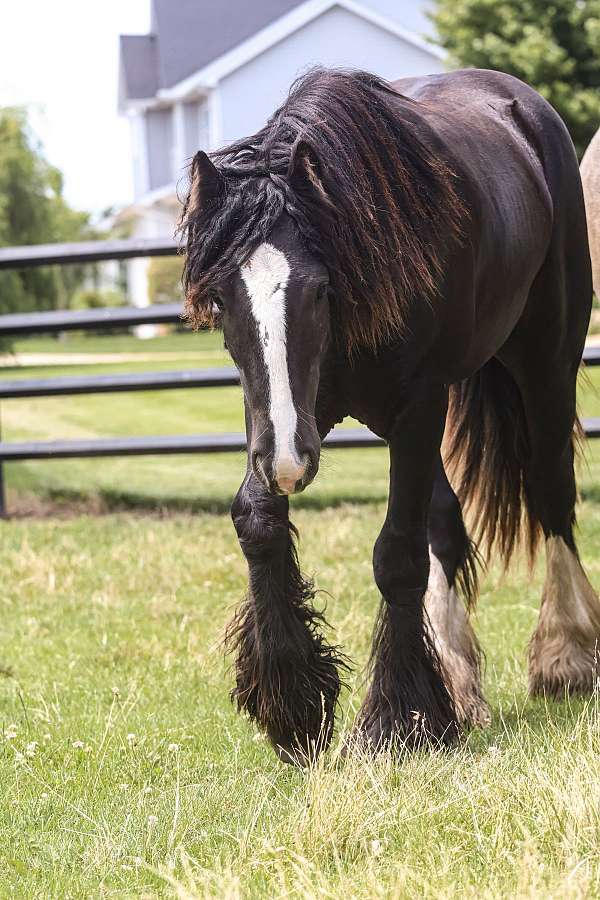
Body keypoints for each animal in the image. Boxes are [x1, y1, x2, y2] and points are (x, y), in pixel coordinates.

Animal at [179, 67, 600, 764]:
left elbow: (398, 554)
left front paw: (397, 720)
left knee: (550, 494)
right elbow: (258, 519)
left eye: (319, 290)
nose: (287, 463)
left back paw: (566, 655)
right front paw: (292, 701)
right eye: (219, 298)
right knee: (448, 524)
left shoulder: (413, 407)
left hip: (545, 358)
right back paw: (459, 681)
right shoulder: (300, 413)